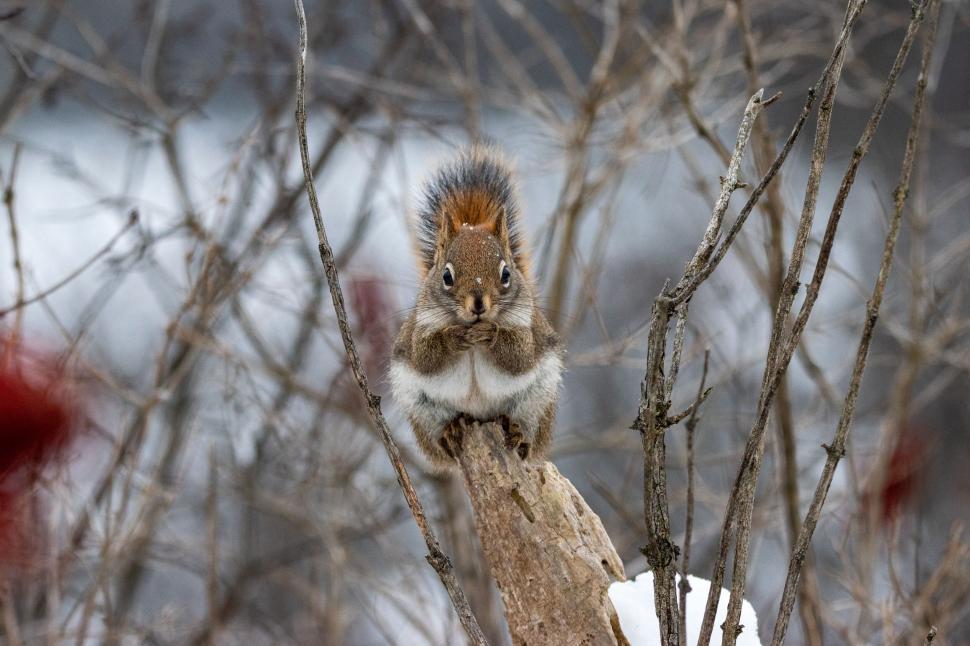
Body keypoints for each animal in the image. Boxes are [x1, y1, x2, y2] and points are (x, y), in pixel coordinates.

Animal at [389, 146, 564, 467]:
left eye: (506, 274)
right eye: (446, 276)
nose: (479, 304)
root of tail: (481, 419)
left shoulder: (526, 329)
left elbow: (519, 356)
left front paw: (490, 333)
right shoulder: (421, 327)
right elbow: (425, 356)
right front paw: (455, 336)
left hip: (537, 401)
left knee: (526, 432)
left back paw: (518, 433)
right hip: (421, 409)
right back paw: (449, 433)